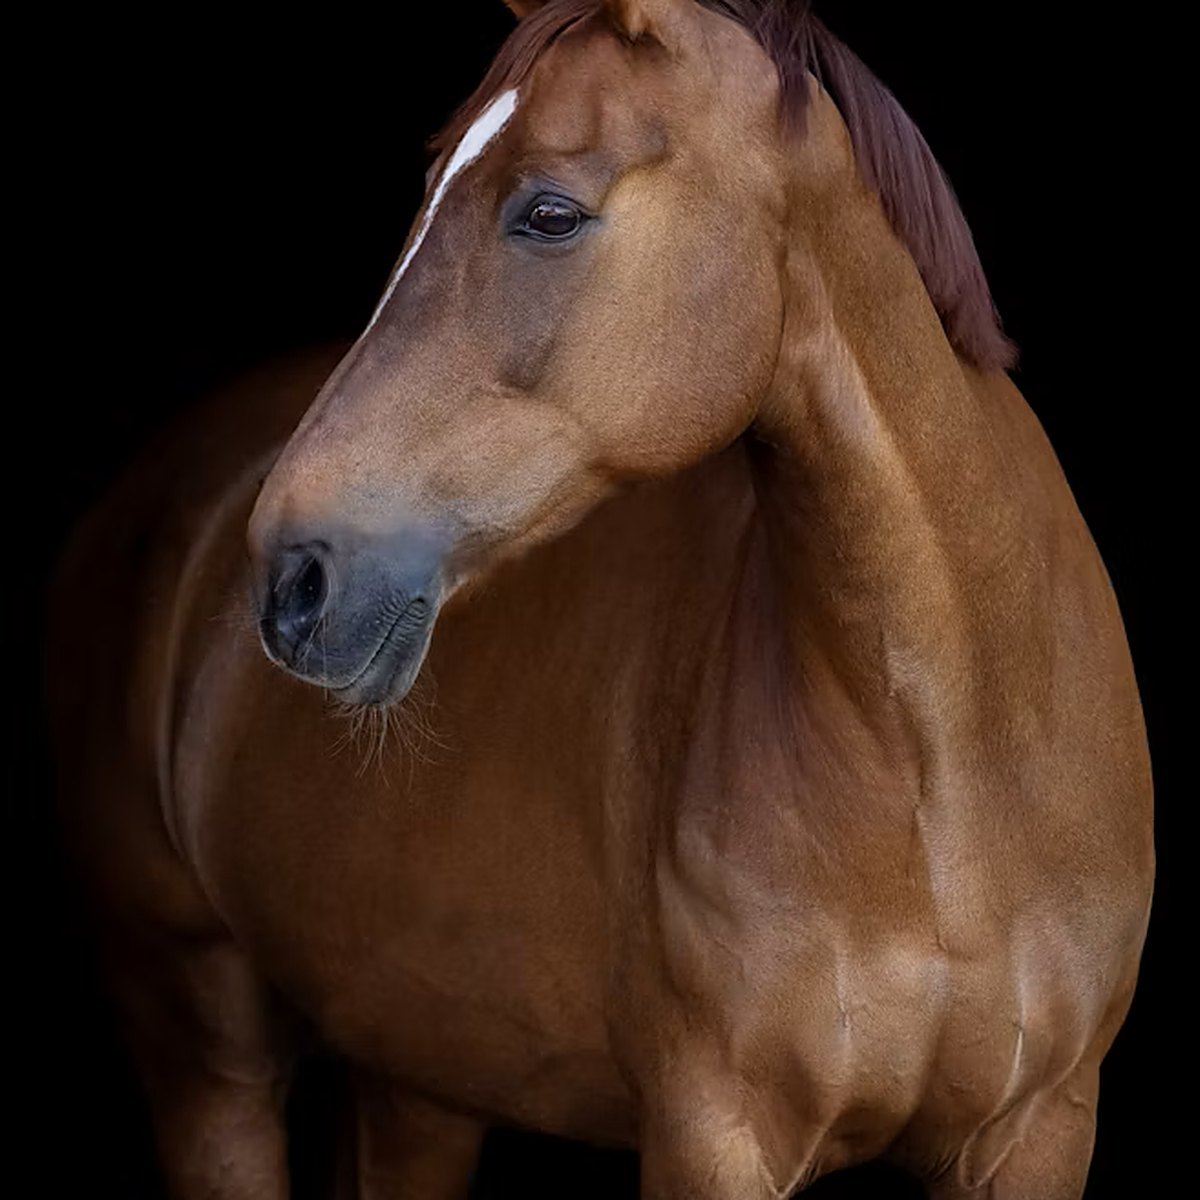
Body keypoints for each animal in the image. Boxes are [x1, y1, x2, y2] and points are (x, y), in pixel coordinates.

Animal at [46, 1, 1154, 1196]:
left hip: (420, 1079)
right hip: (205, 1045)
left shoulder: (1040, 1130)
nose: (295, 577)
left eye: (549, 212)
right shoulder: (713, 1135)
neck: (951, 778)